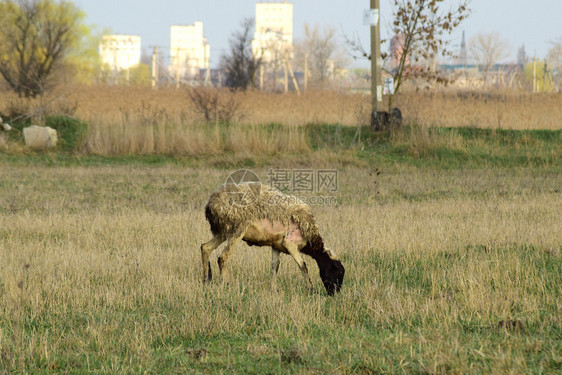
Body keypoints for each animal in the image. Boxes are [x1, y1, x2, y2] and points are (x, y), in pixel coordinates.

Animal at [199, 183, 344, 296]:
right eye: (338, 272)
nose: (334, 294)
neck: (311, 240)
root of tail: (211, 204)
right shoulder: (290, 244)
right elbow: (303, 266)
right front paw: (311, 290)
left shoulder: (276, 245)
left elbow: (275, 266)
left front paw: (273, 290)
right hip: (238, 228)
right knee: (223, 257)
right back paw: (226, 284)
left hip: (224, 231)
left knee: (205, 247)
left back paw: (206, 280)